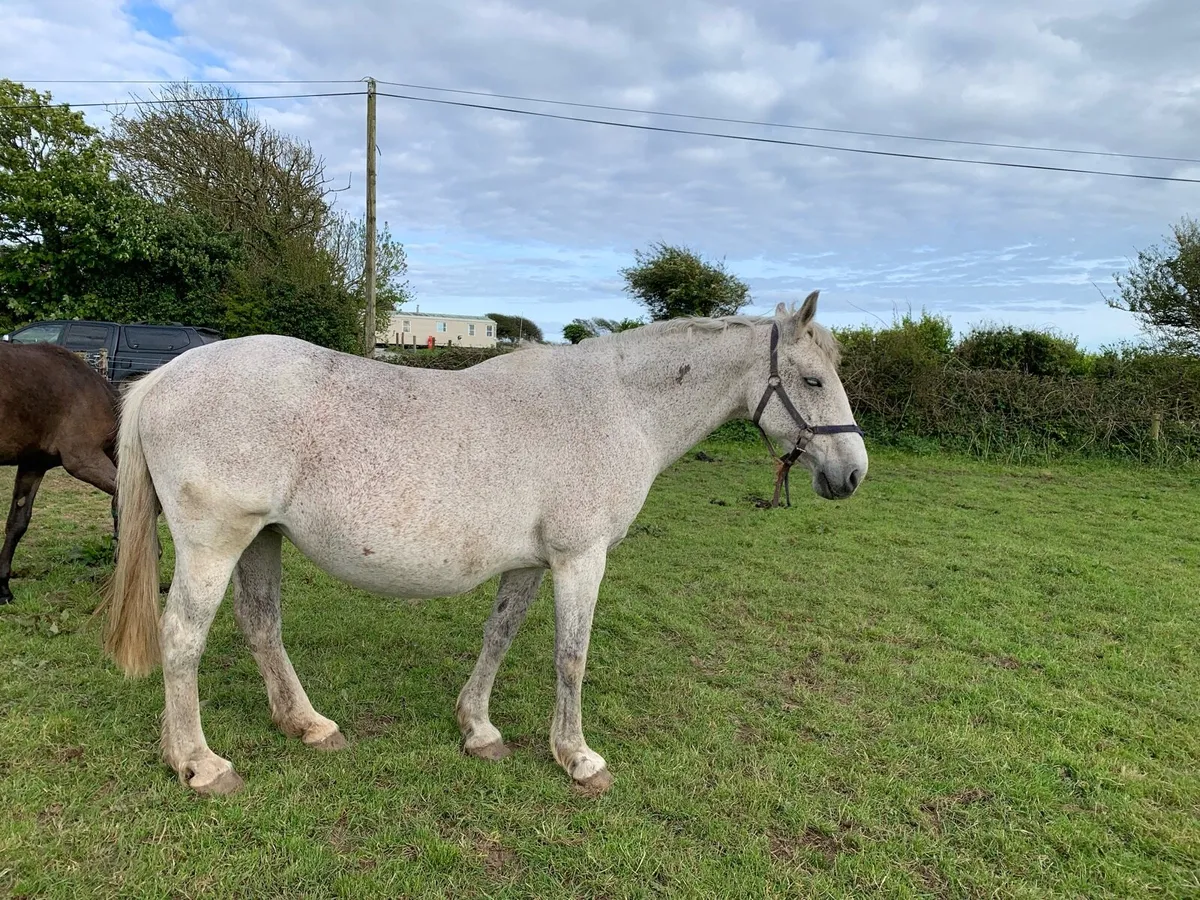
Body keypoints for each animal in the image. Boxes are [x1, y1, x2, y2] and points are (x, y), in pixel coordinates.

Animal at [99, 291, 868, 797]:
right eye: (811, 378)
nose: (852, 474)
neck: (613, 406)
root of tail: (165, 377)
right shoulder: (580, 558)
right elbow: (571, 657)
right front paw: (578, 758)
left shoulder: (530, 563)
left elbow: (499, 636)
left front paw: (479, 730)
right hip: (214, 544)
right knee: (182, 639)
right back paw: (200, 764)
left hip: (261, 540)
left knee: (261, 627)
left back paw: (308, 726)